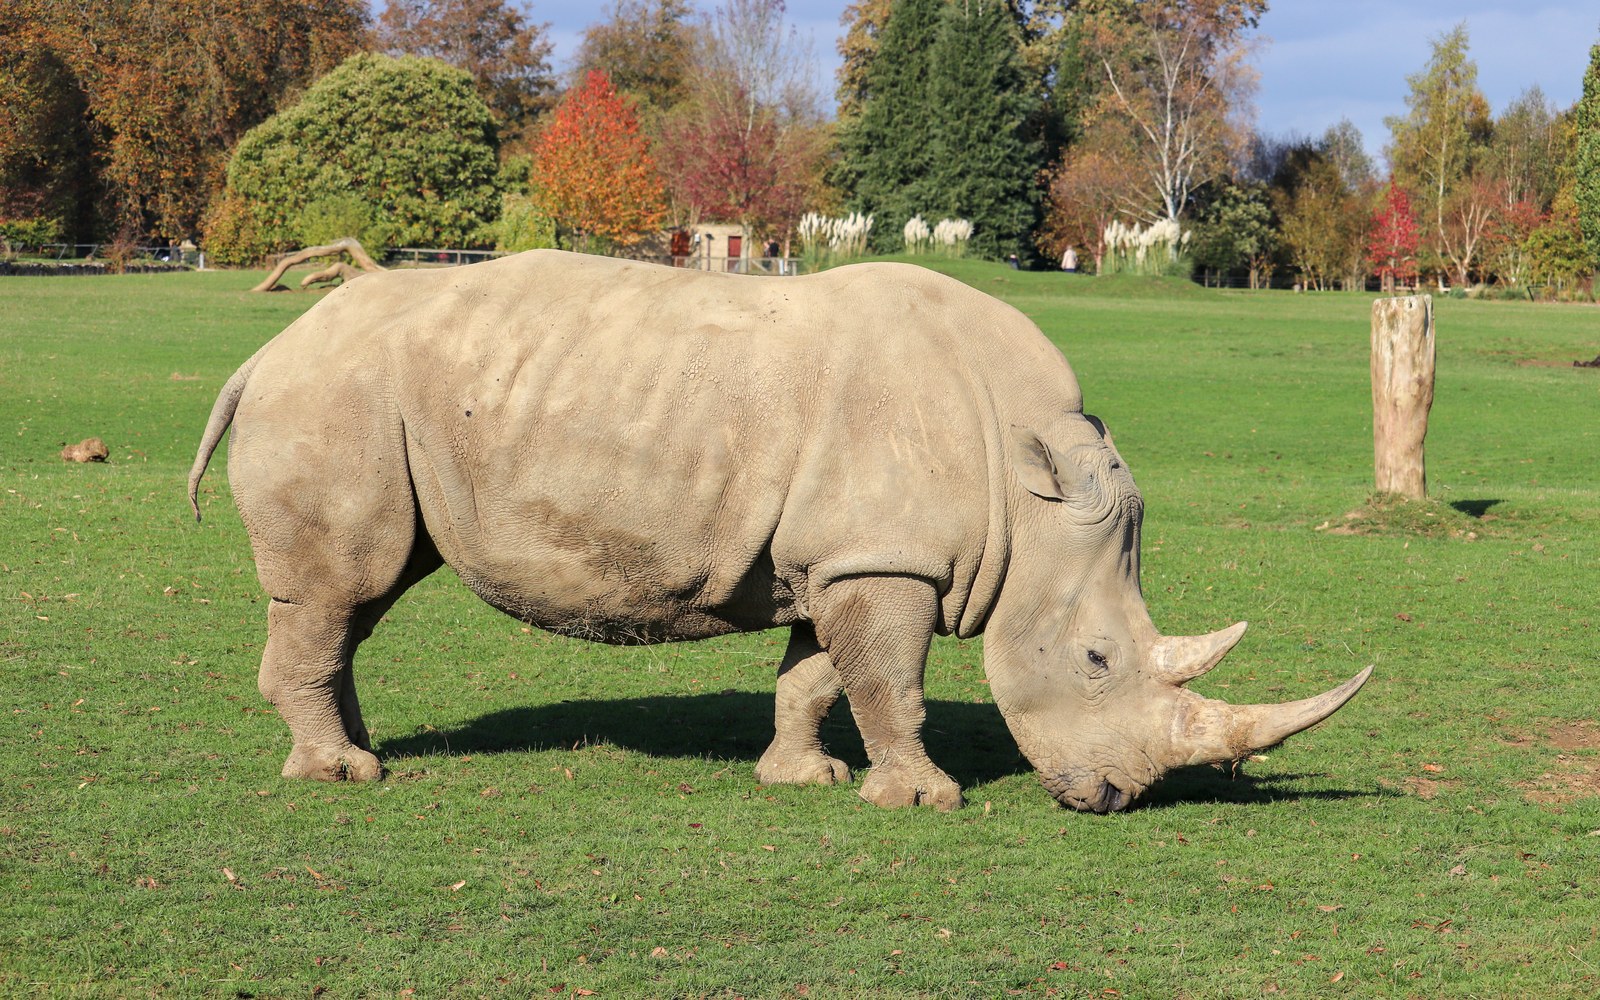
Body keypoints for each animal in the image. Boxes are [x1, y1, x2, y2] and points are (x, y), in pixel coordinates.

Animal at [189, 250, 1369, 812]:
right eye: (1093, 662)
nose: (1114, 799)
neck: (1024, 485)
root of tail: (262, 352)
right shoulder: (883, 560)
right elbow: (889, 684)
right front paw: (924, 799)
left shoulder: (841, 556)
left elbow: (816, 678)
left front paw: (806, 782)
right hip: (334, 395)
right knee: (341, 586)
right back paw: (343, 776)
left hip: (370, 403)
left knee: (356, 595)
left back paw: (356, 753)